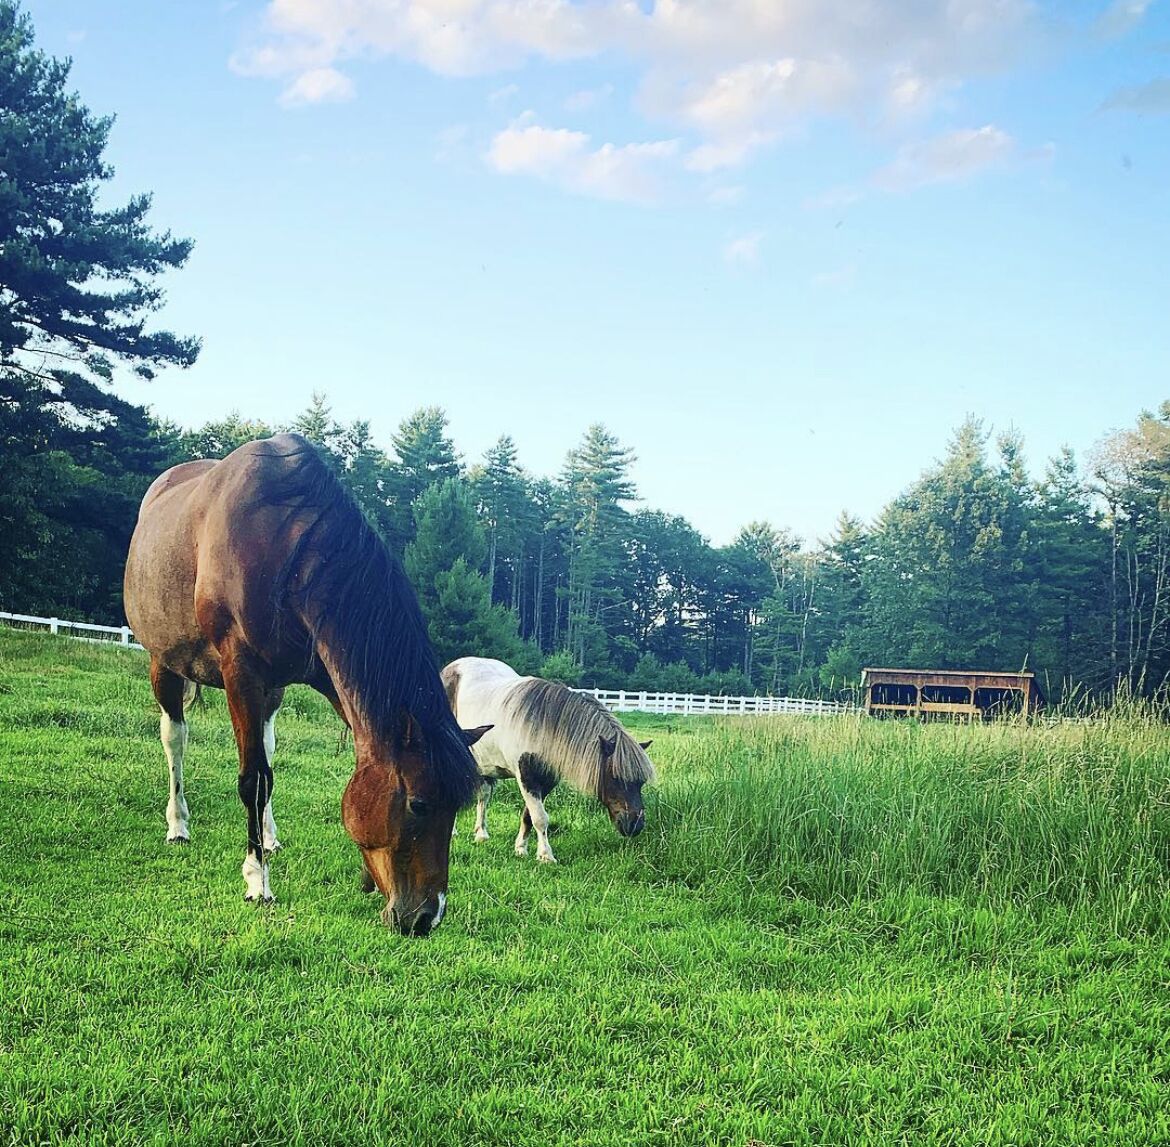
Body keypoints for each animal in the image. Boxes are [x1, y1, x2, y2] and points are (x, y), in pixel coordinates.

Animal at [123, 433, 489, 936]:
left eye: (456, 809)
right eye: (418, 805)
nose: (425, 917)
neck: (289, 553)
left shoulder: (330, 677)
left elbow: (307, 769)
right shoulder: (240, 672)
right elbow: (253, 780)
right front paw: (257, 880)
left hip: (271, 691)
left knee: (267, 748)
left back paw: (269, 835)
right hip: (164, 663)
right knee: (175, 737)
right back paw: (178, 824)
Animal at [440, 657, 655, 864]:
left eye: (640, 783)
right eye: (615, 778)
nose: (634, 825)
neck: (542, 727)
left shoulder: (547, 779)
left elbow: (529, 815)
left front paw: (521, 848)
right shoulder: (526, 777)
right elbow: (540, 818)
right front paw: (545, 855)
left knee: (483, 796)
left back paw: (481, 834)